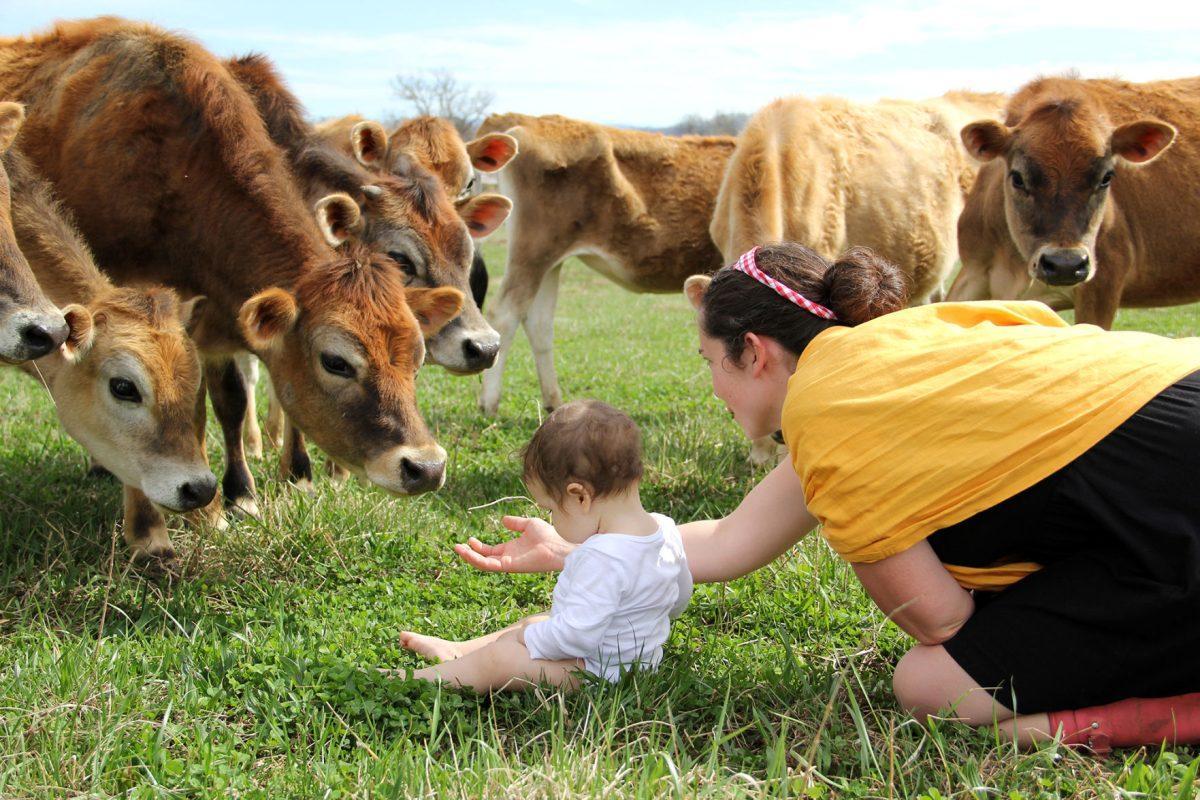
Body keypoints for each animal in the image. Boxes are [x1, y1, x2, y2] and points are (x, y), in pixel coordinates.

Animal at [468, 112, 737, 416]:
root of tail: (527, 119)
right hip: (533, 251)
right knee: (504, 314)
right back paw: (489, 403)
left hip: (549, 262)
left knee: (538, 323)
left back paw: (553, 402)